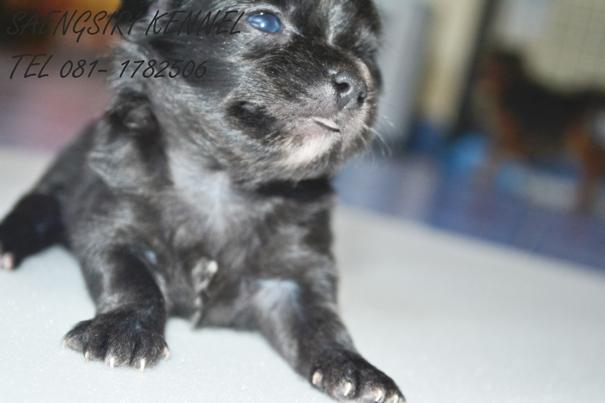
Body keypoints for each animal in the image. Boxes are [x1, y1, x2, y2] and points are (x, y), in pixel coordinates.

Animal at [0, 1, 405, 402]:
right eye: (264, 21)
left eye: (364, 53)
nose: (357, 86)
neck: (223, 179)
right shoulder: (113, 226)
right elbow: (133, 280)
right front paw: (124, 328)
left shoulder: (295, 274)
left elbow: (323, 320)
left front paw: (352, 365)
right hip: (54, 188)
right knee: (33, 212)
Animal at [475, 48, 605, 212]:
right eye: (485, 67)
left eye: (493, 69)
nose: (480, 82)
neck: (512, 84)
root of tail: (583, 98)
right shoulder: (506, 136)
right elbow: (495, 154)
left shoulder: (512, 136)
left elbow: (500, 154)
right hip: (580, 140)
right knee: (596, 162)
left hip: (574, 140)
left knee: (594, 165)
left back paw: (581, 202)